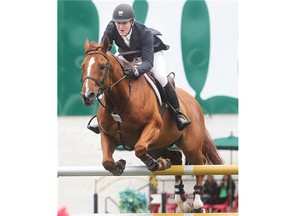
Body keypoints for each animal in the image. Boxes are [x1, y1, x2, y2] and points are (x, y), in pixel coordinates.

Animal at [80, 35, 224, 213]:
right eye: (82, 66)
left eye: (102, 66)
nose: (87, 95)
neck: (120, 101)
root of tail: (194, 101)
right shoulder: (108, 136)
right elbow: (106, 161)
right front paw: (119, 165)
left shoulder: (153, 127)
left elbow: (139, 149)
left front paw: (154, 164)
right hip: (159, 146)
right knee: (177, 160)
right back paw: (181, 199)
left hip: (190, 145)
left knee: (200, 163)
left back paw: (197, 202)